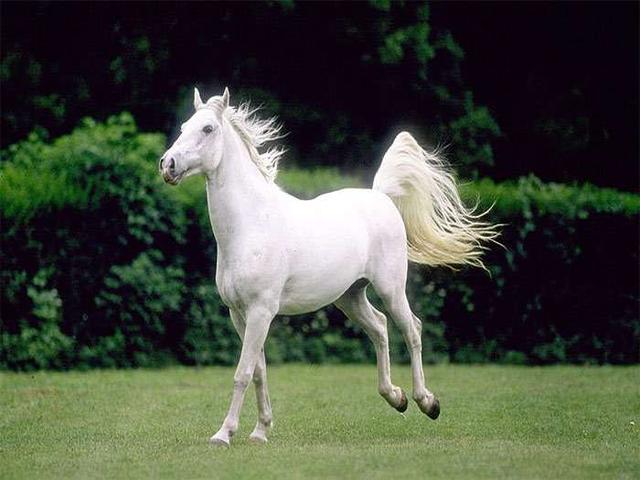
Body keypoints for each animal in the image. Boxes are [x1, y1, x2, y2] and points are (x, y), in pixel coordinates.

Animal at [159, 87, 499, 447]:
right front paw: (260, 431)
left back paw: (426, 402)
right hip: (350, 297)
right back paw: (396, 397)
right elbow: (259, 371)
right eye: (184, 127)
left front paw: (224, 434)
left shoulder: (261, 311)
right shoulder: (239, 313)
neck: (251, 226)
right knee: (380, 328)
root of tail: (382, 197)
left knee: (412, 330)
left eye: (208, 128)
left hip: (391, 288)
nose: (167, 165)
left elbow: (243, 373)